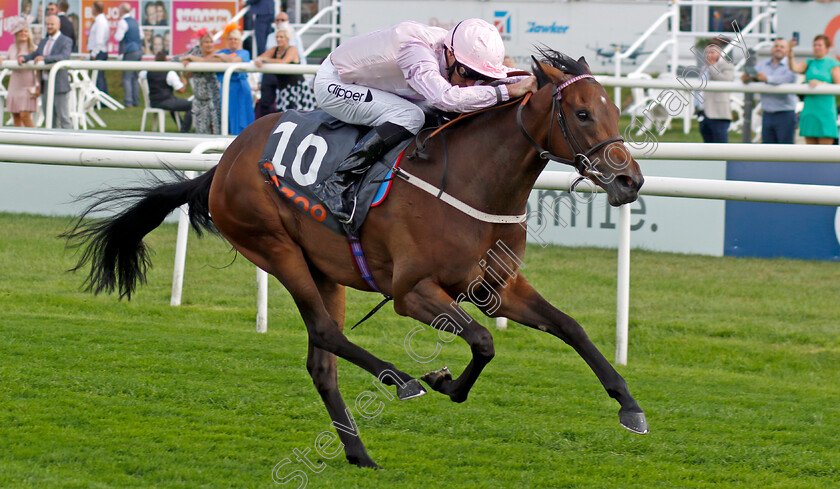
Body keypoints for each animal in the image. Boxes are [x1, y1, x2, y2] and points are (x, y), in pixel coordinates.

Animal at [65, 50, 648, 468]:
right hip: (276, 248)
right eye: (581, 113)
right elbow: (483, 341)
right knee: (326, 334)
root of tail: (225, 160)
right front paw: (443, 382)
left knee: (321, 360)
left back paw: (359, 453)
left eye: (615, 110)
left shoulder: (495, 287)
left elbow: (569, 327)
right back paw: (400, 379)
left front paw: (630, 406)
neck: (472, 182)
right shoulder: (413, 292)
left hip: (326, 272)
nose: (630, 180)